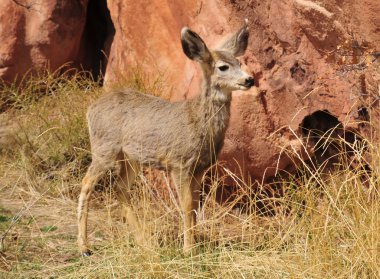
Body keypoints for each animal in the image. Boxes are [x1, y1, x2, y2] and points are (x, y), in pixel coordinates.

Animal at [76, 19, 255, 258]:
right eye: (223, 67)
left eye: (239, 62)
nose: (249, 79)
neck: (198, 122)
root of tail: (90, 109)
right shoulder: (179, 163)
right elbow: (186, 206)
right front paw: (188, 250)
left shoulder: (200, 168)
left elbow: (196, 206)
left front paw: (196, 243)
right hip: (103, 148)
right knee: (86, 183)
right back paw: (84, 247)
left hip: (131, 158)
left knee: (121, 187)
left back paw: (145, 242)